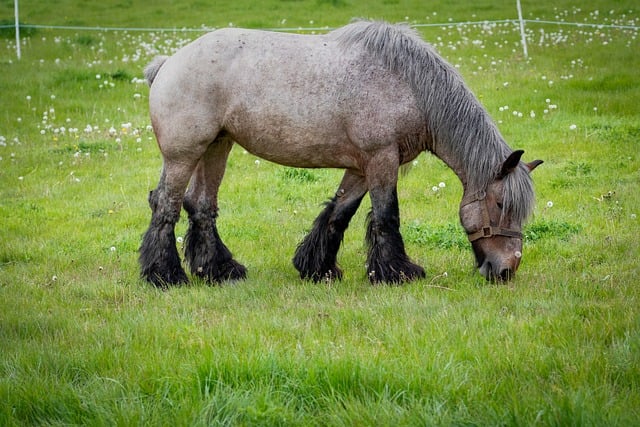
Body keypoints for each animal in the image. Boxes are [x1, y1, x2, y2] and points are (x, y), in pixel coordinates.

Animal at [138, 20, 544, 288]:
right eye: (501, 206)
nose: (506, 270)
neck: (410, 85)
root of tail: (167, 63)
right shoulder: (382, 160)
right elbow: (386, 216)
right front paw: (397, 272)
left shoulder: (362, 167)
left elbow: (339, 213)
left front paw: (317, 268)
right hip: (183, 156)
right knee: (166, 205)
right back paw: (166, 276)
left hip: (216, 148)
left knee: (201, 207)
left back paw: (218, 271)